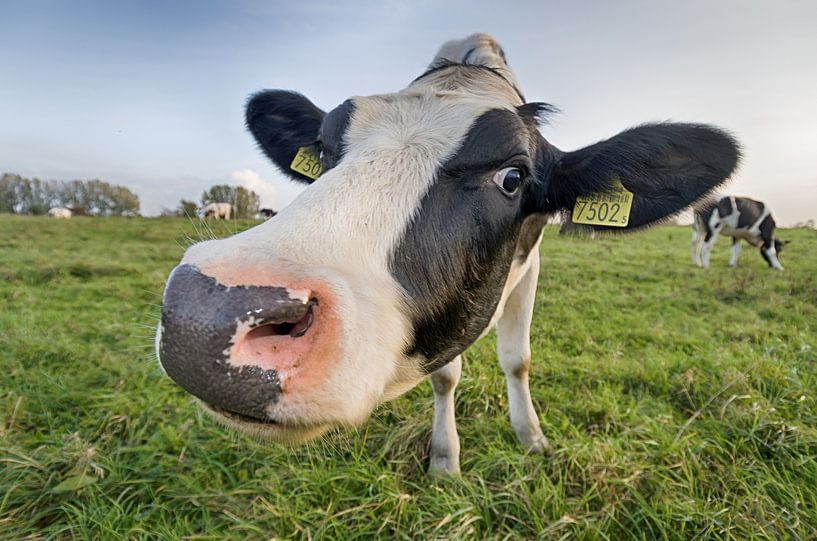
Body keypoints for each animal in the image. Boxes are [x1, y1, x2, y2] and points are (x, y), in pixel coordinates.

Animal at [156, 33, 740, 474]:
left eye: (513, 177)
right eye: (323, 149)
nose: (205, 315)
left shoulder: (531, 263)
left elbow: (517, 359)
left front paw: (531, 437)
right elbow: (445, 375)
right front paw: (445, 459)